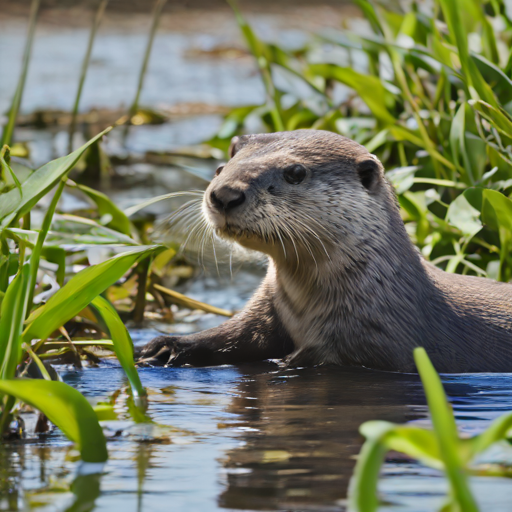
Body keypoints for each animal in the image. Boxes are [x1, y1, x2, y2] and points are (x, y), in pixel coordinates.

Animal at [138, 130, 512, 374]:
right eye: (219, 169)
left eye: (295, 172)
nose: (224, 194)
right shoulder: (266, 310)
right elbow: (234, 335)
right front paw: (165, 347)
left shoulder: (372, 342)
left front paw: (282, 364)